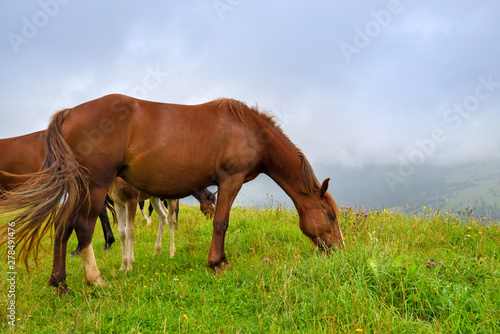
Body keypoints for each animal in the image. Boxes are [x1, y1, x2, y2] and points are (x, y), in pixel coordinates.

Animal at [0, 92, 344, 294]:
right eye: (329, 215)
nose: (339, 249)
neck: (251, 130)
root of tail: (69, 112)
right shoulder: (230, 180)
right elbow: (221, 223)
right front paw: (217, 263)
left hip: (80, 189)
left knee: (61, 227)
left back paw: (60, 283)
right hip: (95, 186)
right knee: (82, 228)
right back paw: (95, 279)